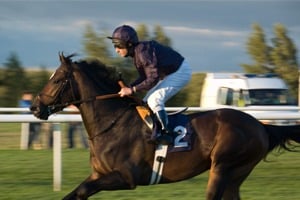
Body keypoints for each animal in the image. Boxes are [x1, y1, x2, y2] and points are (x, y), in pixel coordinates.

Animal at [30, 53, 300, 200]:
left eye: (57, 79)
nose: (34, 107)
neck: (112, 123)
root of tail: (260, 125)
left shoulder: (126, 177)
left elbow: (83, 190)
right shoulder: (99, 174)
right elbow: (76, 192)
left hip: (224, 167)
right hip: (236, 174)